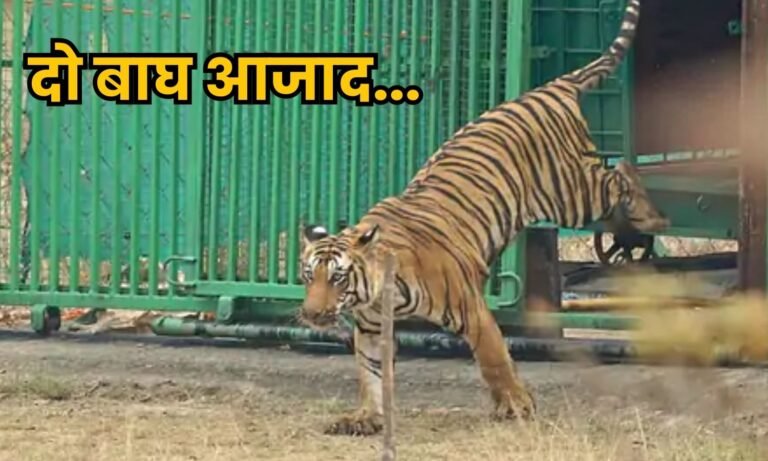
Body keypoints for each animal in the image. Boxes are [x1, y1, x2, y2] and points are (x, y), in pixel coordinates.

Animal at [299, 0, 667, 436]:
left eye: (337, 278)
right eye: (308, 276)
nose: (312, 313)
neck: (375, 290)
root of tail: (549, 88)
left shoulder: (471, 310)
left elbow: (495, 360)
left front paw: (516, 406)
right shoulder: (371, 329)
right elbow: (370, 374)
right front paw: (365, 417)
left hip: (572, 193)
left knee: (621, 172)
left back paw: (652, 218)